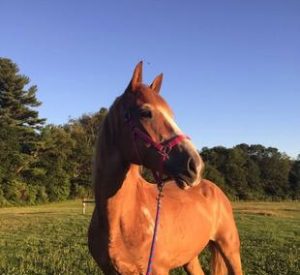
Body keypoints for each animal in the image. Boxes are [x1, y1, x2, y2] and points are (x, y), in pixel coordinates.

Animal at [88, 62, 243, 275]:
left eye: (172, 115)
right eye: (146, 113)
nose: (196, 165)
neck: (119, 220)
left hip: (229, 249)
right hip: (190, 258)